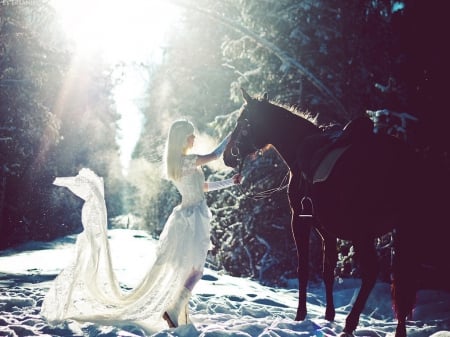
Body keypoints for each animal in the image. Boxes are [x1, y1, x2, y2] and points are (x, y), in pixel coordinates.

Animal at [223, 88, 448, 336]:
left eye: (242, 122)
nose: (227, 156)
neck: (300, 148)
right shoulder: (326, 230)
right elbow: (328, 270)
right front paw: (329, 316)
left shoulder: (300, 221)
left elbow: (303, 269)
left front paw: (300, 317)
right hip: (403, 232)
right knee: (402, 284)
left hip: (363, 234)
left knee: (371, 272)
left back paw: (350, 324)